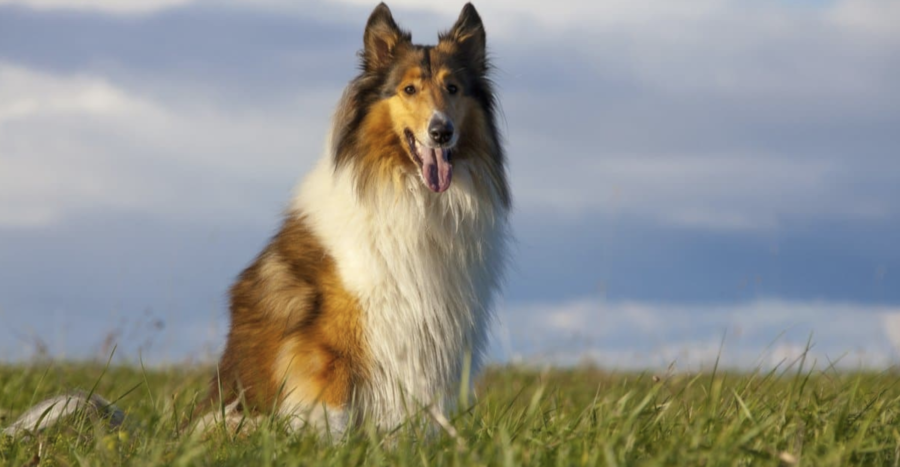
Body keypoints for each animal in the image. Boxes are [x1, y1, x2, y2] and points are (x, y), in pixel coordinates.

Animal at [0, 1, 510, 440]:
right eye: (408, 90)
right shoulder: (330, 346)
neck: (409, 191)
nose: (441, 132)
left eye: (452, 89)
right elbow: (334, 413)